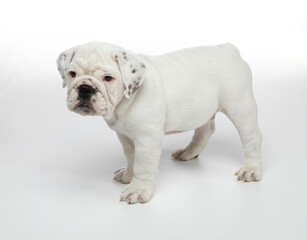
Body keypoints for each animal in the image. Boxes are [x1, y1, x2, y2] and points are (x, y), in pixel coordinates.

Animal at [57, 42, 262, 203]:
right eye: (72, 74)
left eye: (108, 78)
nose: (85, 88)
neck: (126, 100)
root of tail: (228, 48)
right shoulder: (125, 136)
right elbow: (131, 157)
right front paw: (128, 175)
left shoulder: (147, 140)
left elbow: (142, 165)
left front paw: (138, 190)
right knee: (205, 130)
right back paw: (188, 152)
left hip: (240, 106)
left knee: (252, 138)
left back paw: (251, 170)